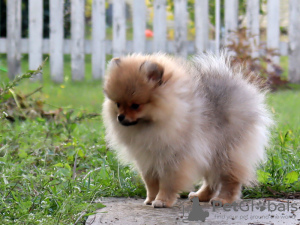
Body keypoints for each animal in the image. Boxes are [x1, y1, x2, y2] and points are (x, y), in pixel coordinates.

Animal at [102, 52, 274, 207]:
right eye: (118, 104)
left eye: (136, 105)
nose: (120, 117)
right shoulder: (148, 158)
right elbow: (150, 182)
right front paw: (151, 199)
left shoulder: (174, 158)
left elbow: (167, 183)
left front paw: (162, 201)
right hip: (210, 153)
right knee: (212, 180)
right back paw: (201, 196)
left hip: (227, 152)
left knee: (230, 179)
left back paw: (223, 199)